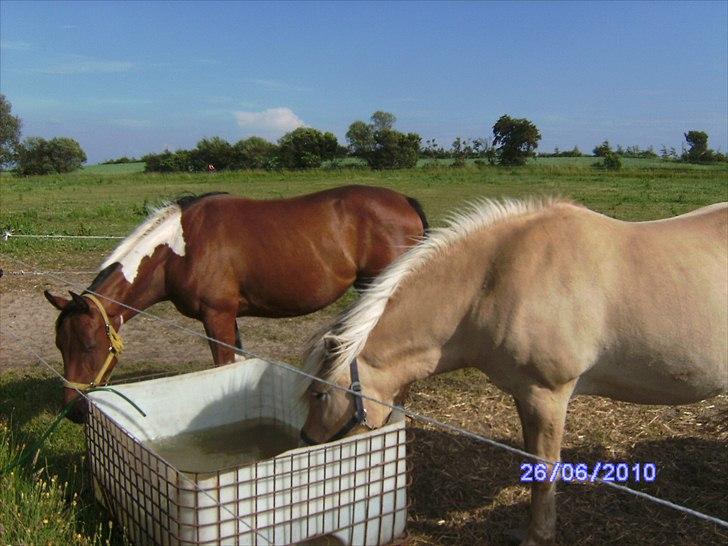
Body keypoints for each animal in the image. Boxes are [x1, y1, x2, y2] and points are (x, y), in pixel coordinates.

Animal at [45, 185, 428, 423]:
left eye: (89, 345)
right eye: (60, 345)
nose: (73, 412)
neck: (178, 249)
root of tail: (405, 201)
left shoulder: (217, 317)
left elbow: (222, 366)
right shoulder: (230, 319)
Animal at [300, 198, 727, 546]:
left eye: (319, 394)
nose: (305, 441)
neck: (498, 279)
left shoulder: (549, 394)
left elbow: (545, 467)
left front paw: (538, 535)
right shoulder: (526, 395)